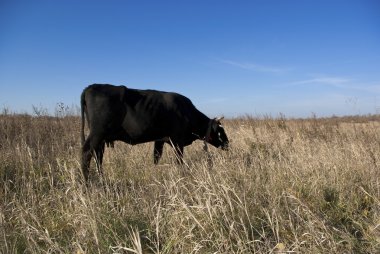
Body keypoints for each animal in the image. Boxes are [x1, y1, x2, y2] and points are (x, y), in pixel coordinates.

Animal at [80, 83, 229, 181]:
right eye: (220, 131)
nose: (228, 144)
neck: (187, 112)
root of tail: (90, 86)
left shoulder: (160, 140)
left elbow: (156, 157)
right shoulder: (177, 141)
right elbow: (179, 160)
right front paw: (181, 174)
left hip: (101, 139)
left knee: (98, 156)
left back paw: (101, 177)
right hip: (97, 134)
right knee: (86, 153)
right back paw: (87, 181)